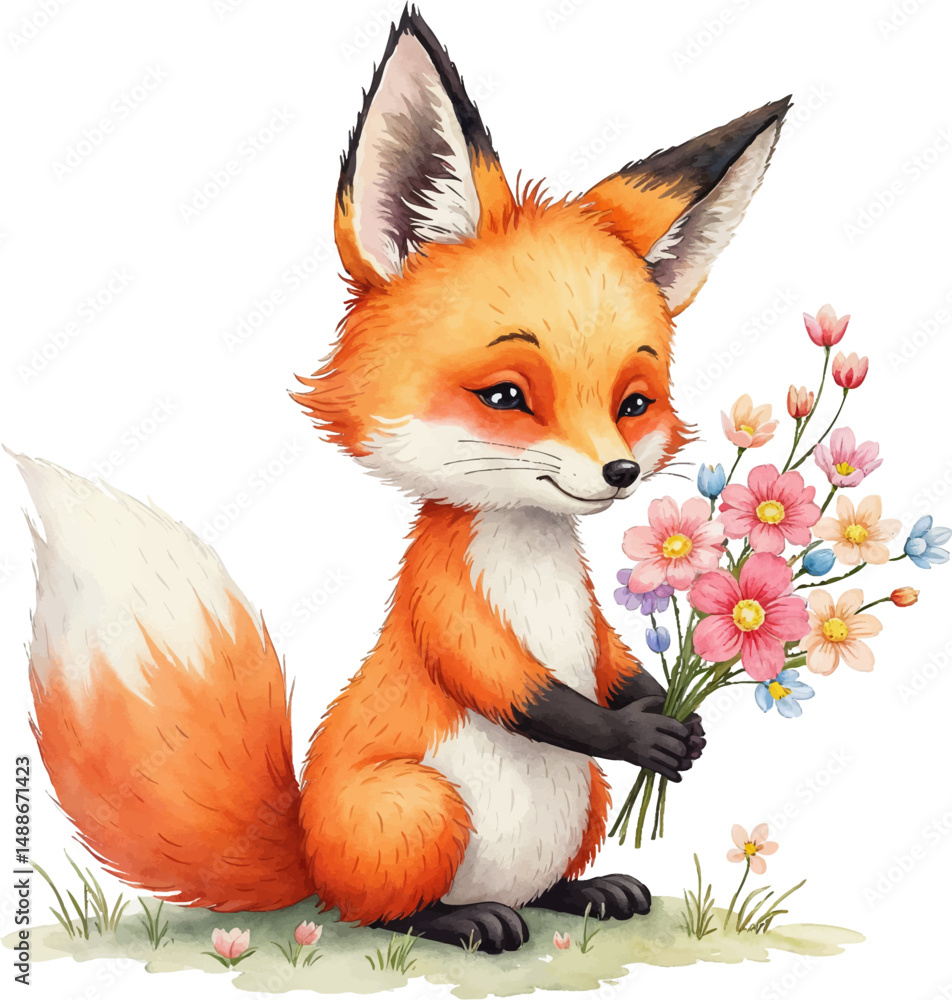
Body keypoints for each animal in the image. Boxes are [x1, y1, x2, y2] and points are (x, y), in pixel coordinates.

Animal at [16, 6, 789, 955]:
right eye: (507, 396)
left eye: (634, 403)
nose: (619, 471)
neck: (528, 552)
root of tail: (309, 852)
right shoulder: (444, 602)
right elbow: (524, 691)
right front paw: (637, 731)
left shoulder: (592, 627)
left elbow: (613, 663)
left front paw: (679, 720)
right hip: (421, 805)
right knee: (389, 911)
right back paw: (467, 919)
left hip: (583, 800)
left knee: (541, 885)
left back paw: (585, 892)